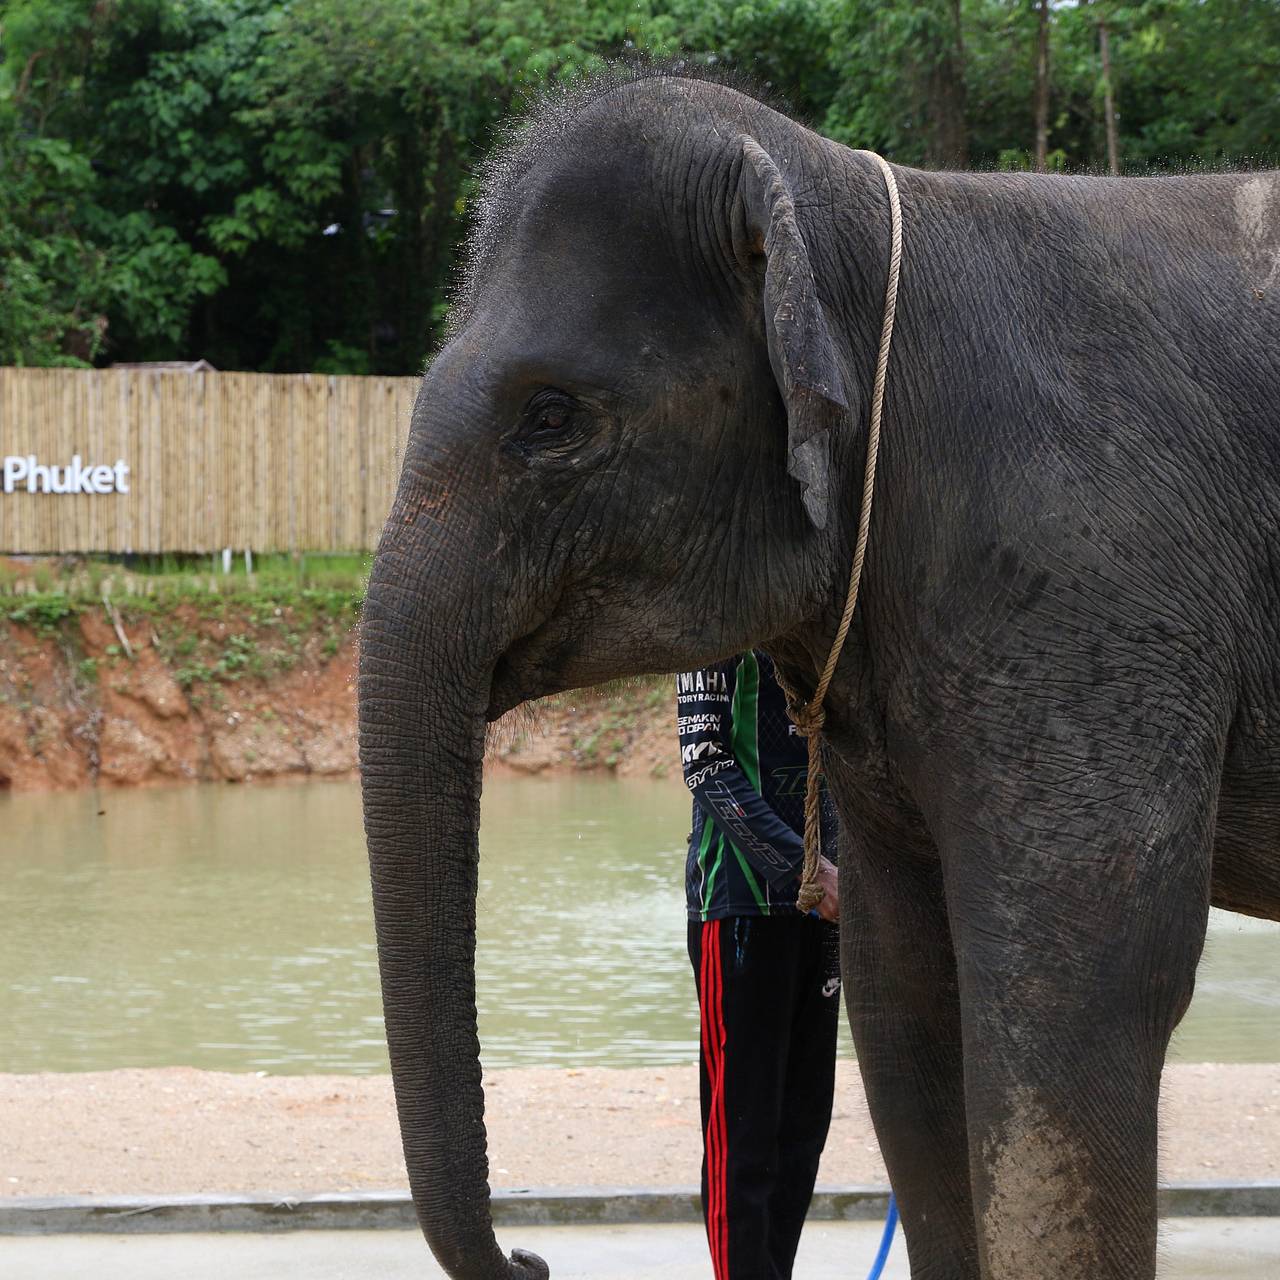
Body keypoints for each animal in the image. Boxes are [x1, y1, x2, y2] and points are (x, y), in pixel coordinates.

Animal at [355, 67, 1280, 1280]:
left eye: (550, 417)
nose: (532, 1259)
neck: (851, 207)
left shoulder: (1097, 593)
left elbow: (1084, 989)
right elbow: (900, 990)